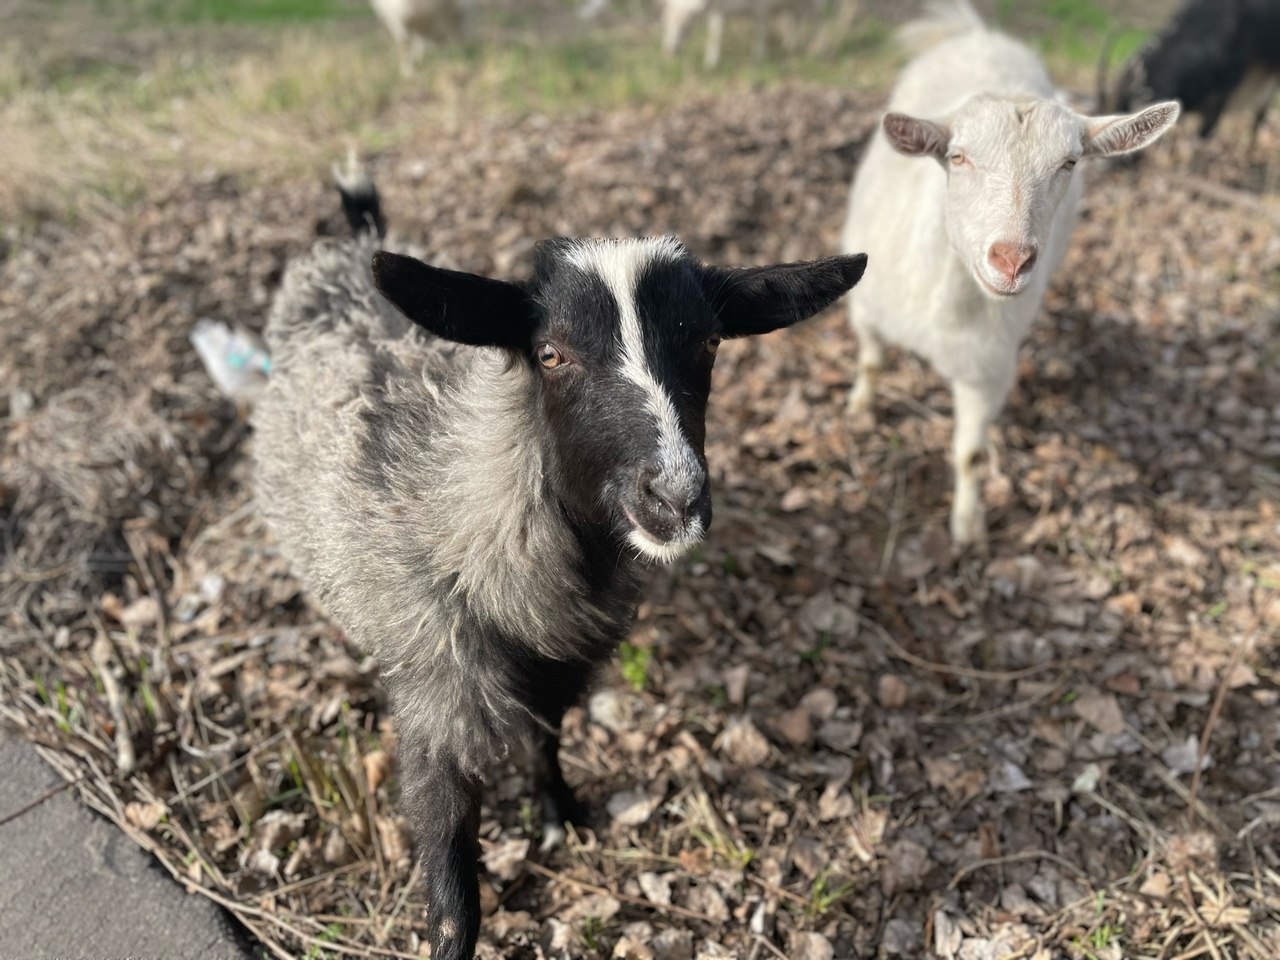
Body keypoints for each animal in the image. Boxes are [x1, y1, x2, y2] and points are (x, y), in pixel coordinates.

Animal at [839, 0, 1177, 545]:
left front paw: (966, 528)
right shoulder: (866, 309)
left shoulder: (987, 369)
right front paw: (859, 410)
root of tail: (979, 34)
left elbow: (971, 455)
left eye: (1070, 163)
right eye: (956, 156)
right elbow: (870, 362)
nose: (1012, 259)